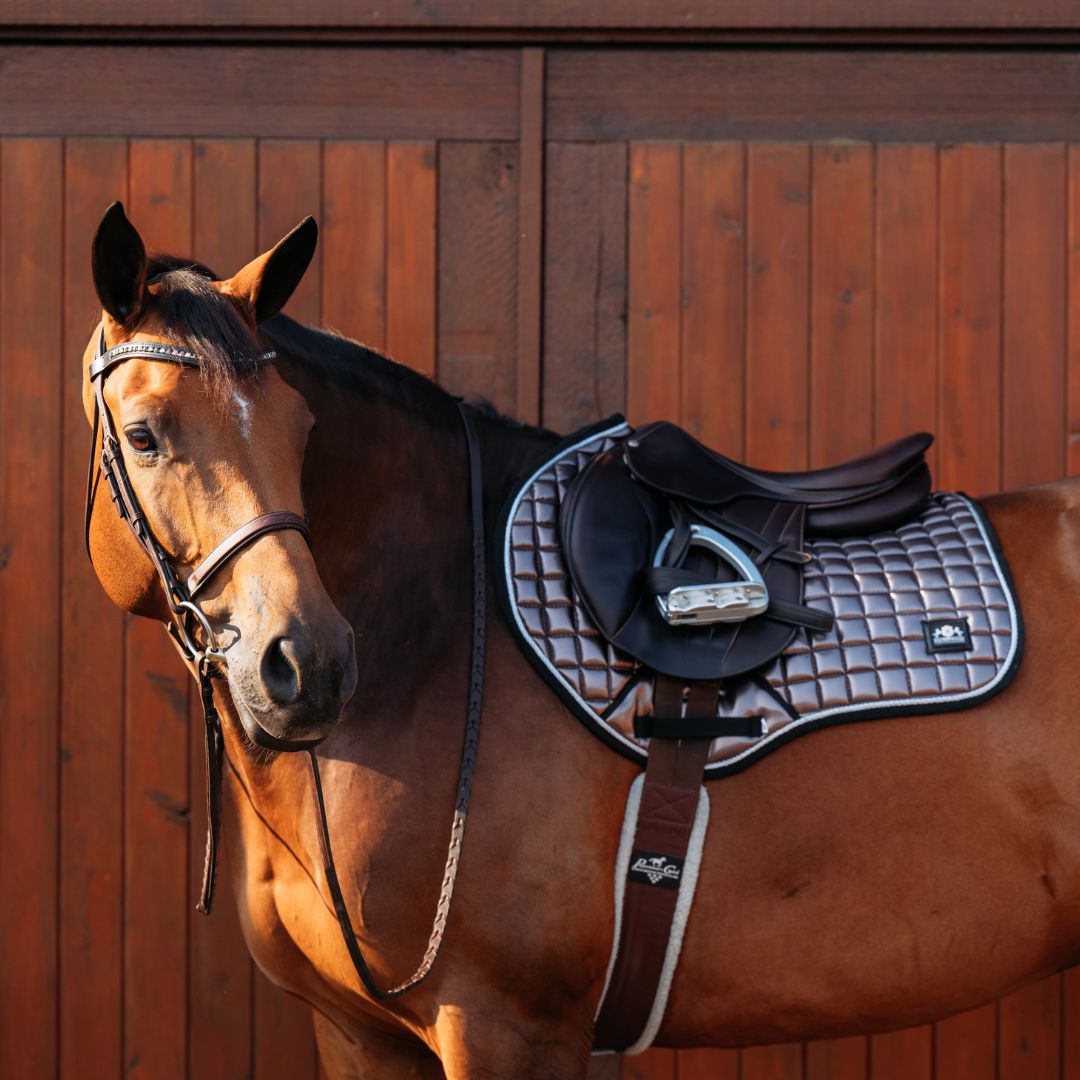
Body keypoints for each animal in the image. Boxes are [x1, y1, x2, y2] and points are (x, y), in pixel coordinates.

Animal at [81, 201, 1080, 1079]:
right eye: (144, 435)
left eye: (303, 431)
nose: (307, 663)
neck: (438, 633)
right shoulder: (358, 1034)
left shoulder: (504, 1029)